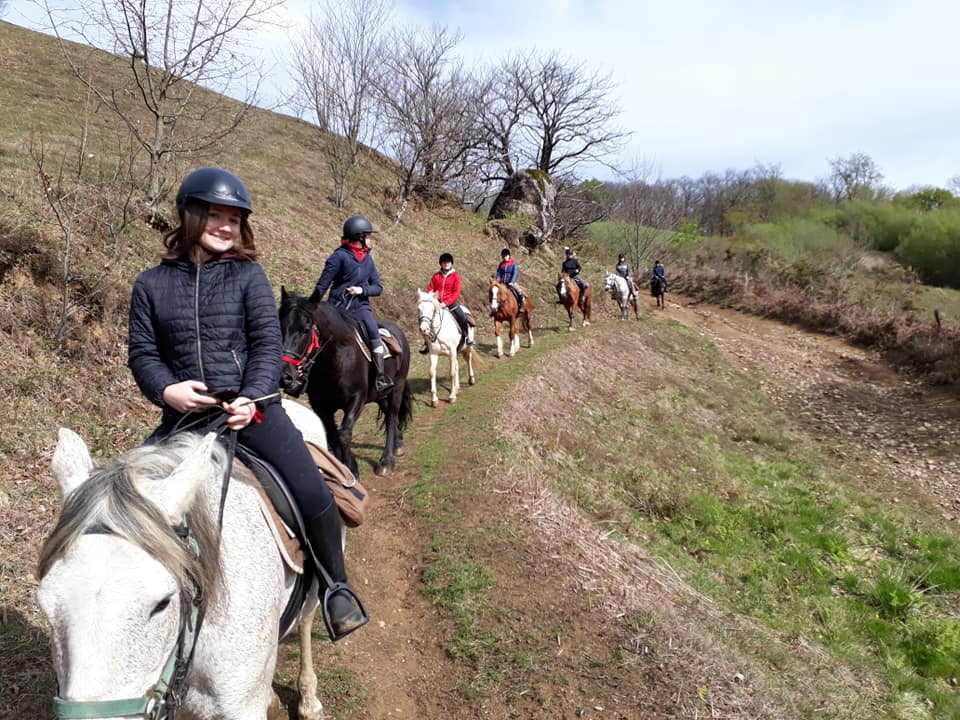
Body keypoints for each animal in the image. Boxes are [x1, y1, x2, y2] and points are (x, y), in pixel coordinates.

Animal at [278, 286, 412, 478]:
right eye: (279, 326)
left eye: (306, 329)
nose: (284, 376)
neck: (336, 358)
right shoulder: (321, 406)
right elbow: (333, 436)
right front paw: (342, 467)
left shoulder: (356, 399)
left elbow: (344, 434)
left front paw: (351, 468)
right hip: (380, 394)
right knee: (388, 415)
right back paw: (398, 444)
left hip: (397, 388)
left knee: (392, 415)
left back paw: (386, 460)